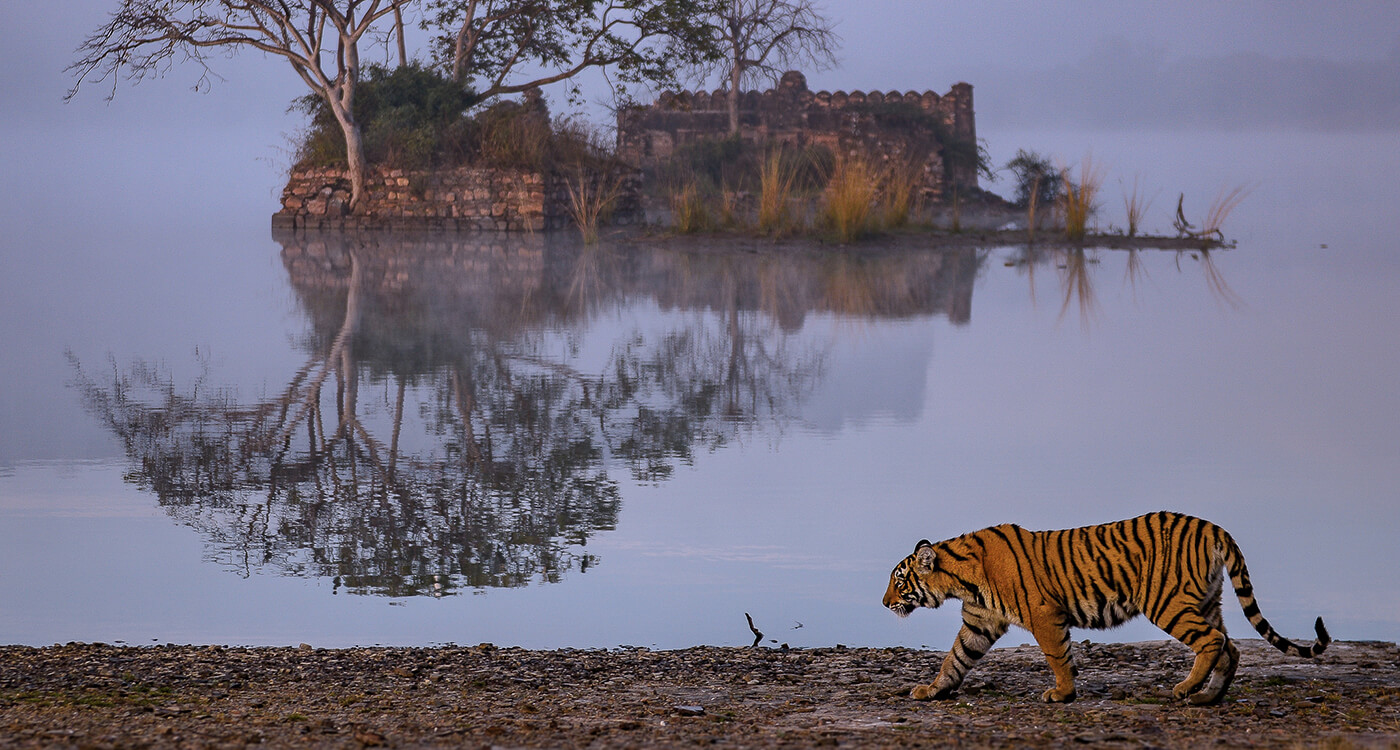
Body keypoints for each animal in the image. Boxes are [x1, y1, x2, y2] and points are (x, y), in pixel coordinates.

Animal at [879, 509, 1327, 702]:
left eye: (899, 581)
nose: (884, 603)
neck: (963, 580)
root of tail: (1214, 527)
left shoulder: (1045, 616)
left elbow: (1058, 656)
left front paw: (1062, 693)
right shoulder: (978, 622)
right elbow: (954, 658)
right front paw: (933, 690)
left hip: (1168, 603)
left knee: (1212, 642)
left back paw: (1185, 689)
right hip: (1205, 601)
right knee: (1230, 646)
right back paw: (1208, 697)